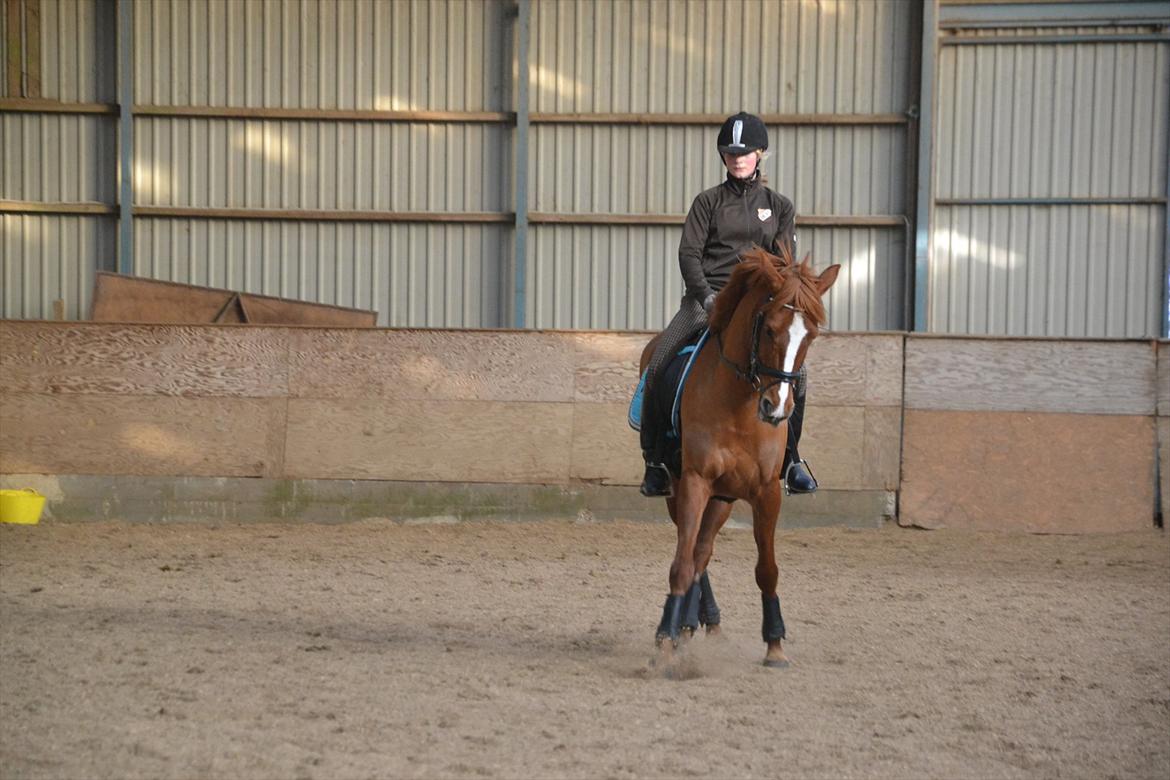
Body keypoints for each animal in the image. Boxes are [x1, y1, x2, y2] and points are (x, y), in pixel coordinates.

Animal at [641, 246, 842, 668]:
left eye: (811, 336)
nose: (776, 407)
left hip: (725, 498)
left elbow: (766, 569)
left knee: (703, 551)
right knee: (694, 554)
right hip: (679, 490)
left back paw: (696, 623)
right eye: (769, 329)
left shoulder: (767, 491)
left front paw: (775, 643)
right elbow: (681, 565)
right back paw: (683, 626)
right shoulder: (695, 482)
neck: (739, 404)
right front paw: (664, 640)